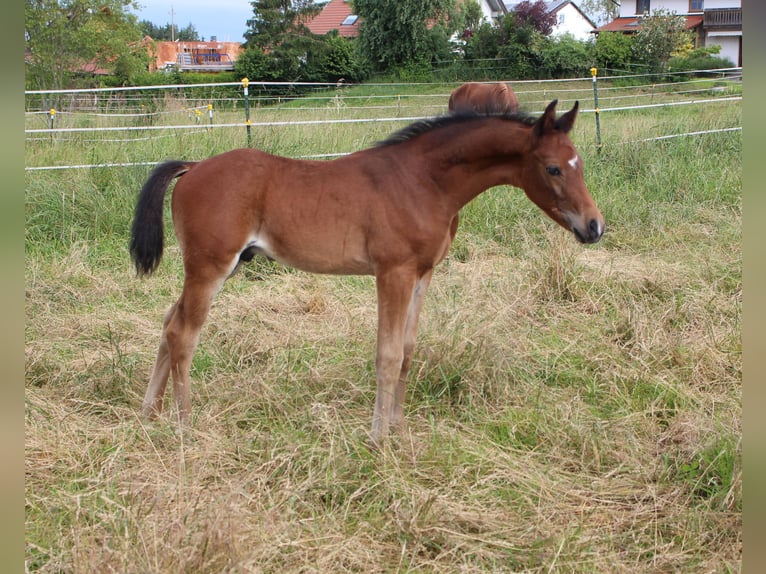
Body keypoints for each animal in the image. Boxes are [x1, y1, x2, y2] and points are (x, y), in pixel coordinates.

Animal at [130, 101, 608, 448]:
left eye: (581, 164)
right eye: (552, 167)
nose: (594, 226)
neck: (422, 181)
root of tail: (194, 166)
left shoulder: (422, 274)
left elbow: (409, 351)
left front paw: (399, 429)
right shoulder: (393, 273)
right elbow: (388, 354)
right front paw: (378, 439)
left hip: (217, 269)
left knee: (169, 323)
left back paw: (149, 413)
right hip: (210, 268)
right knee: (184, 335)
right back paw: (184, 426)